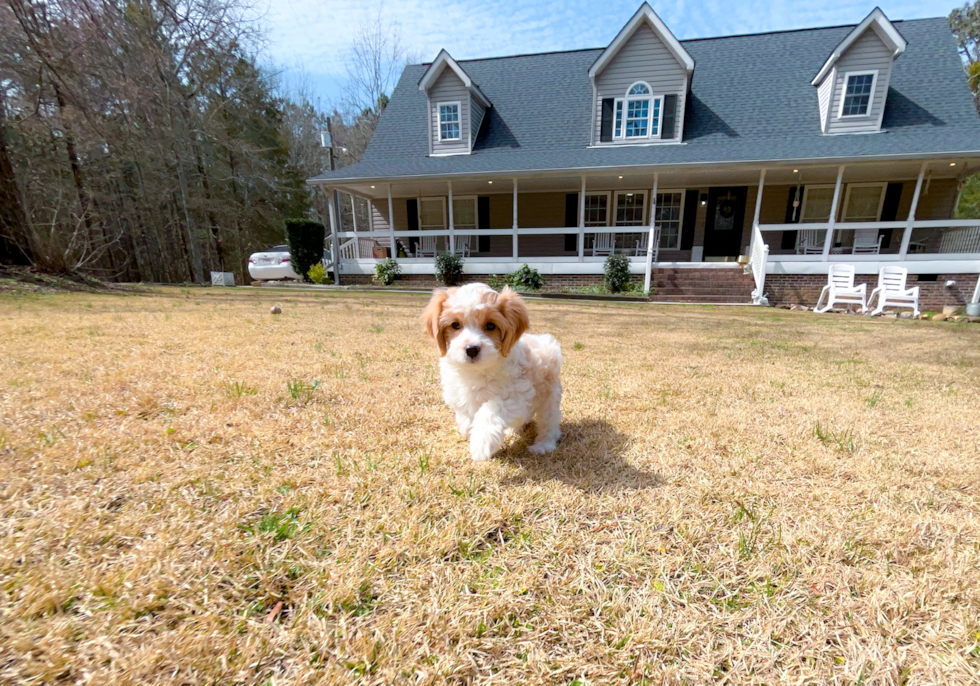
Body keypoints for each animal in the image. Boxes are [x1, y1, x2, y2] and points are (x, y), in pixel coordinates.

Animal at [420, 284, 564, 462]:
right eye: (455, 325)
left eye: (490, 326)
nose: (471, 349)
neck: (478, 371)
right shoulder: (460, 393)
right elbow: (465, 414)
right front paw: (468, 428)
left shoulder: (516, 394)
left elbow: (491, 411)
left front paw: (481, 443)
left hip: (549, 398)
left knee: (549, 422)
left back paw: (543, 445)